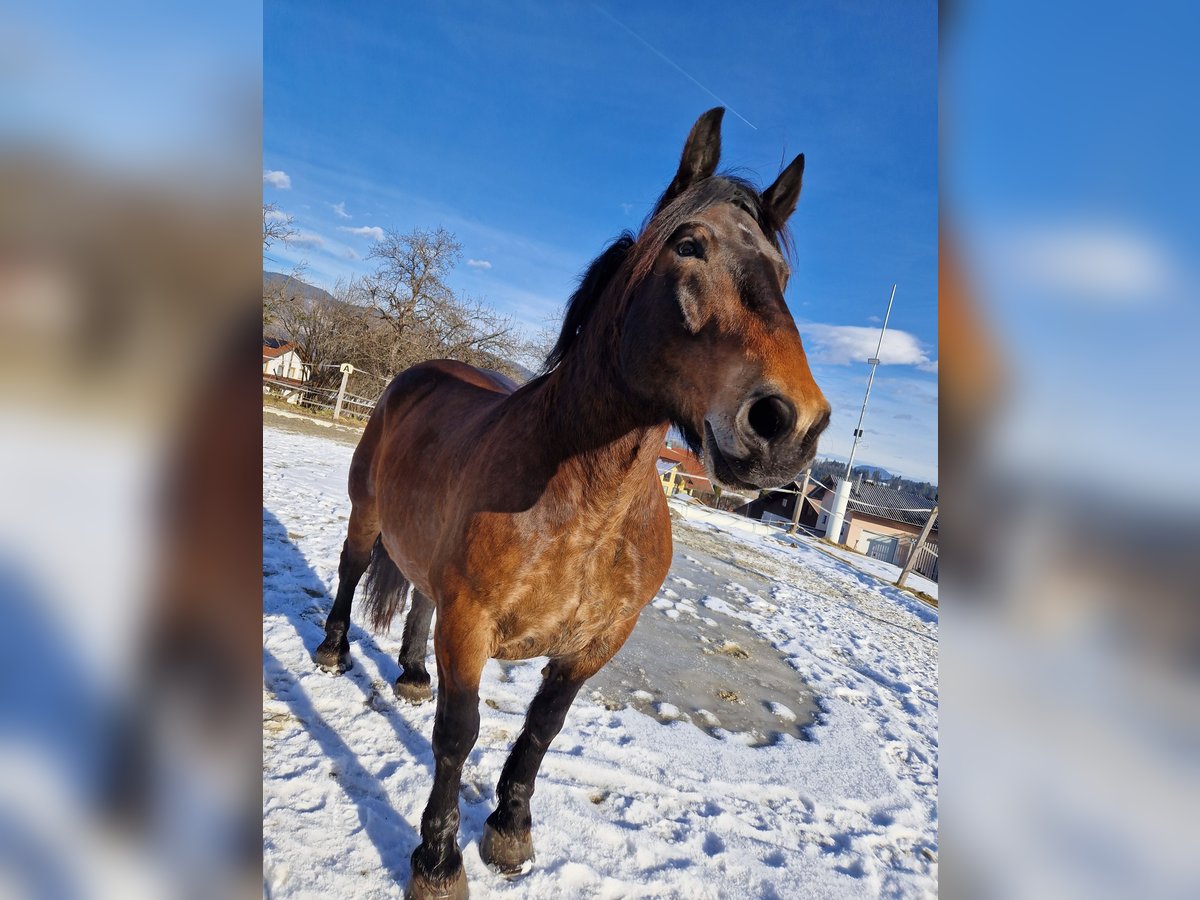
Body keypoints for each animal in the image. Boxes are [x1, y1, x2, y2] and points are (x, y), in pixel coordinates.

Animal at [314, 109, 830, 897]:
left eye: (785, 276)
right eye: (690, 245)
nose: (789, 425)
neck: (584, 507)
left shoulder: (596, 642)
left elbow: (541, 730)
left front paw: (510, 834)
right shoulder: (471, 624)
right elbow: (457, 734)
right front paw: (438, 860)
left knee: (420, 598)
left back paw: (411, 675)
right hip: (366, 514)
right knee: (349, 569)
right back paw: (334, 651)